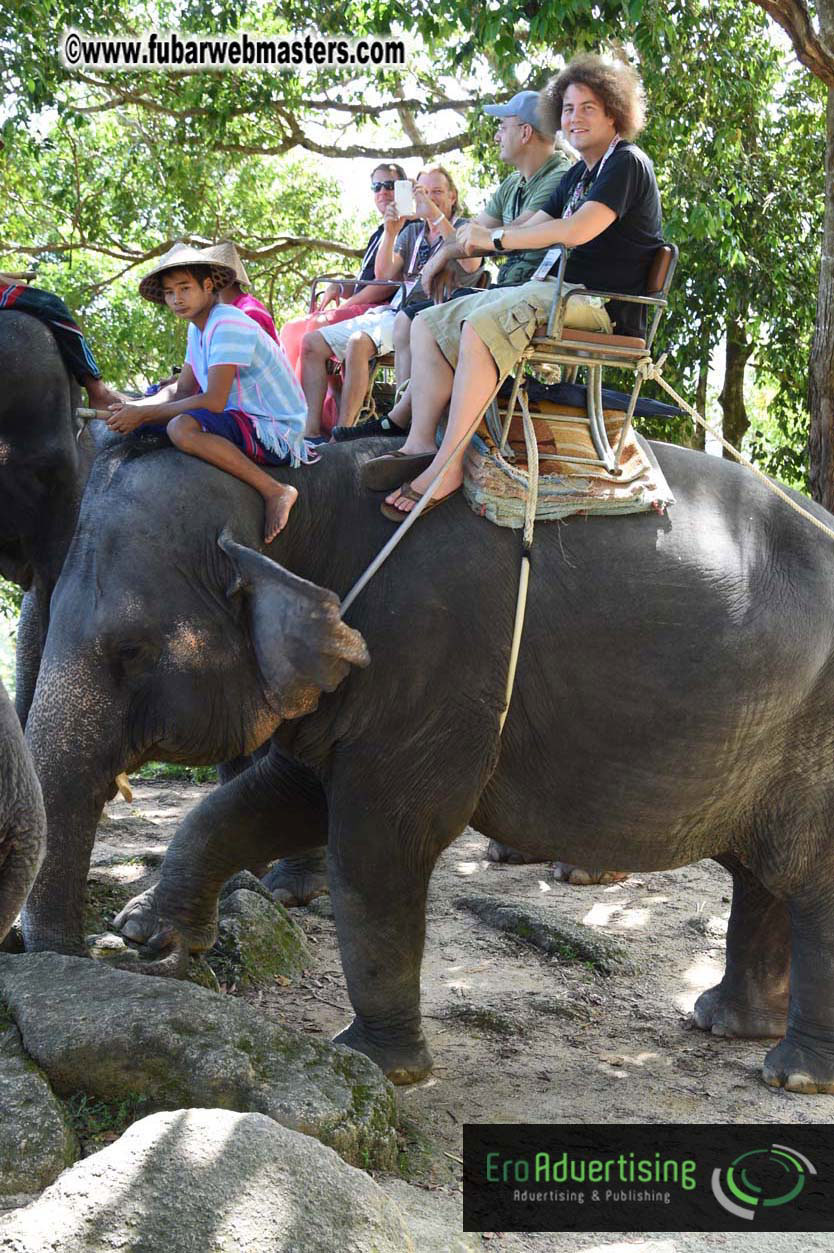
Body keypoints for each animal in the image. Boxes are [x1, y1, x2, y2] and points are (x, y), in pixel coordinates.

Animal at [19, 427, 834, 1093]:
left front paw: (375, 1064)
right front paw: (152, 932)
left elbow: (380, 845)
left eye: (130, 651)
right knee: (761, 871)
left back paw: (793, 1075)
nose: (80, 957)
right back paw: (724, 1025)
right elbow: (277, 799)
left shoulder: (430, 659)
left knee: (805, 879)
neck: (305, 489)